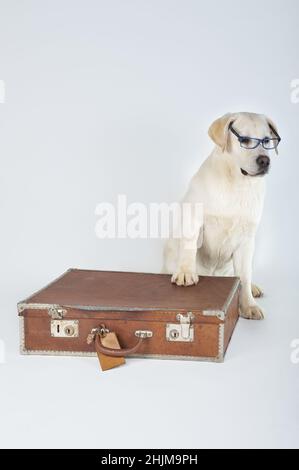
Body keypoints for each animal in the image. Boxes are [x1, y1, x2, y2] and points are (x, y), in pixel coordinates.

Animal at [163, 112, 282, 322]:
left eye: (267, 140)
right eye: (244, 140)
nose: (264, 161)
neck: (238, 183)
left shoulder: (246, 239)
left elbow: (244, 275)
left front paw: (248, 304)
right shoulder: (194, 220)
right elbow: (189, 247)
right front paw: (186, 272)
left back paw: (253, 288)